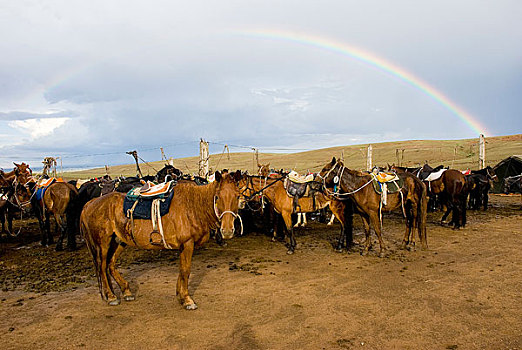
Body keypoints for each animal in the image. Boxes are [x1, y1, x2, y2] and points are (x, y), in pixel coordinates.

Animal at [80, 171, 243, 308]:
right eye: (217, 197)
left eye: (237, 196)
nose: (227, 231)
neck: (193, 206)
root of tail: (90, 204)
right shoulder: (187, 244)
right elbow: (186, 270)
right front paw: (187, 299)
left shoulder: (183, 246)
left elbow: (182, 270)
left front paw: (180, 296)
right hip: (103, 243)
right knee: (102, 266)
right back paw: (111, 296)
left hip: (119, 241)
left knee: (110, 264)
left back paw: (126, 291)